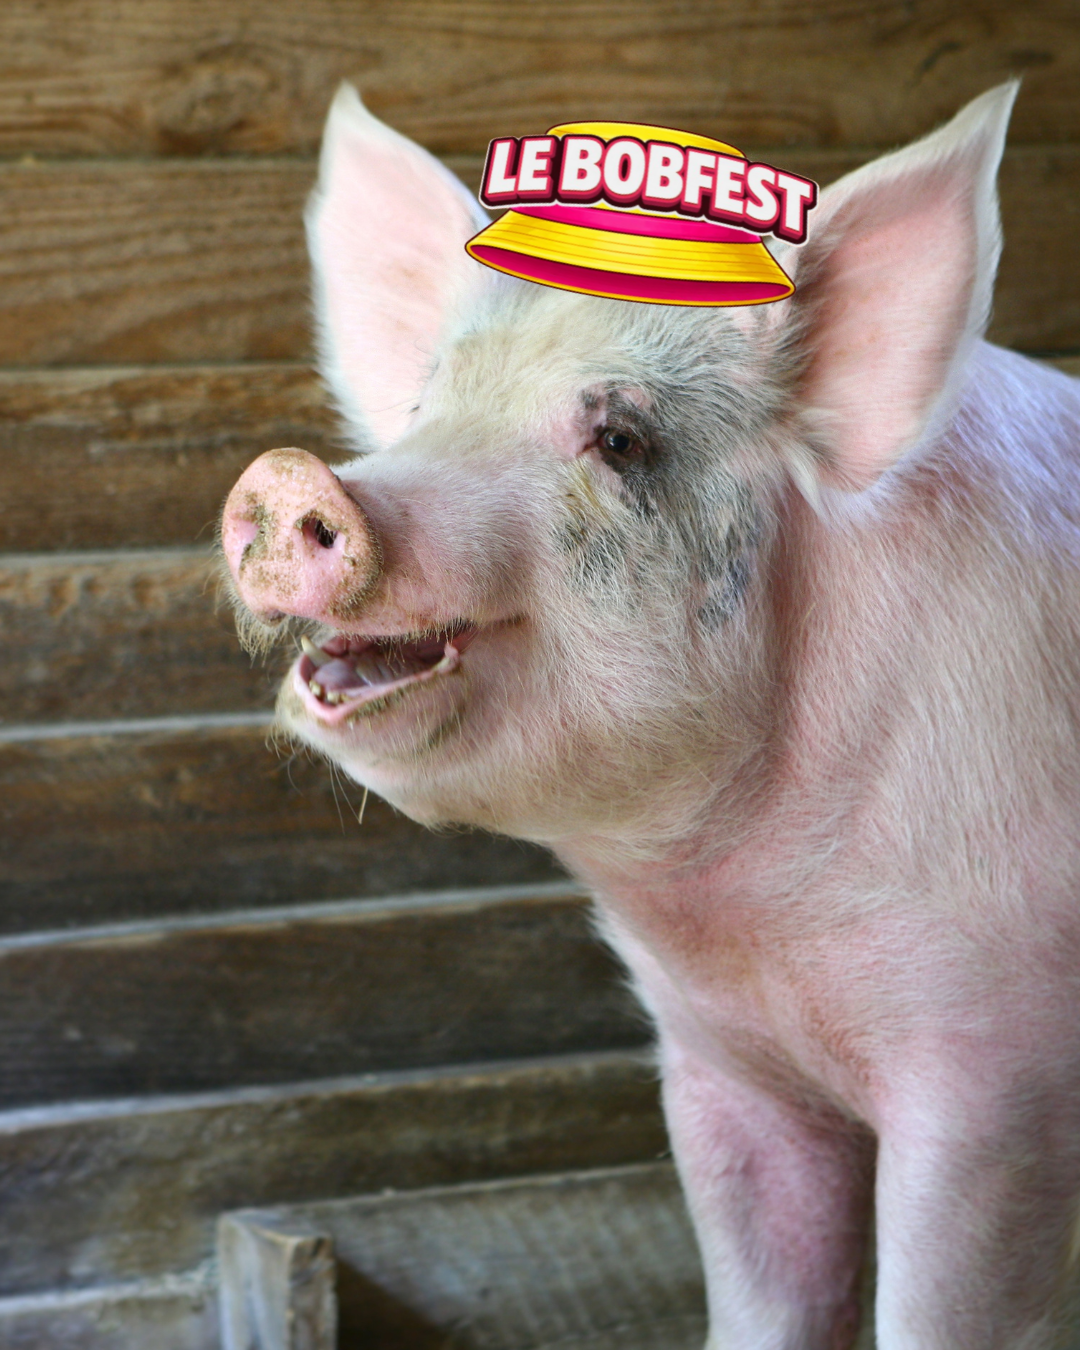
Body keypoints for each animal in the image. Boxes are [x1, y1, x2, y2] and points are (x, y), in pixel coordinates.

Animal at [220, 81, 1080, 1349]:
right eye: (426, 406)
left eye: (620, 439)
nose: (289, 481)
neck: (757, 926)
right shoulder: (719, 1063)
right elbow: (765, 1295)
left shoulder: (998, 1080)